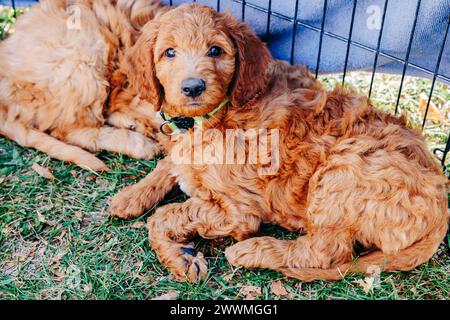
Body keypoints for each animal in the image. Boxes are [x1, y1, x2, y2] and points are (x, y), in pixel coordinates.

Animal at [110, 3, 450, 282]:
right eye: (169, 52)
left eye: (215, 51)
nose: (193, 87)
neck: (215, 117)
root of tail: (442, 207)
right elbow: (170, 164)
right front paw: (133, 196)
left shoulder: (240, 210)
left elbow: (167, 215)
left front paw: (180, 255)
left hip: (344, 168)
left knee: (326, 251)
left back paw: (253, 250)